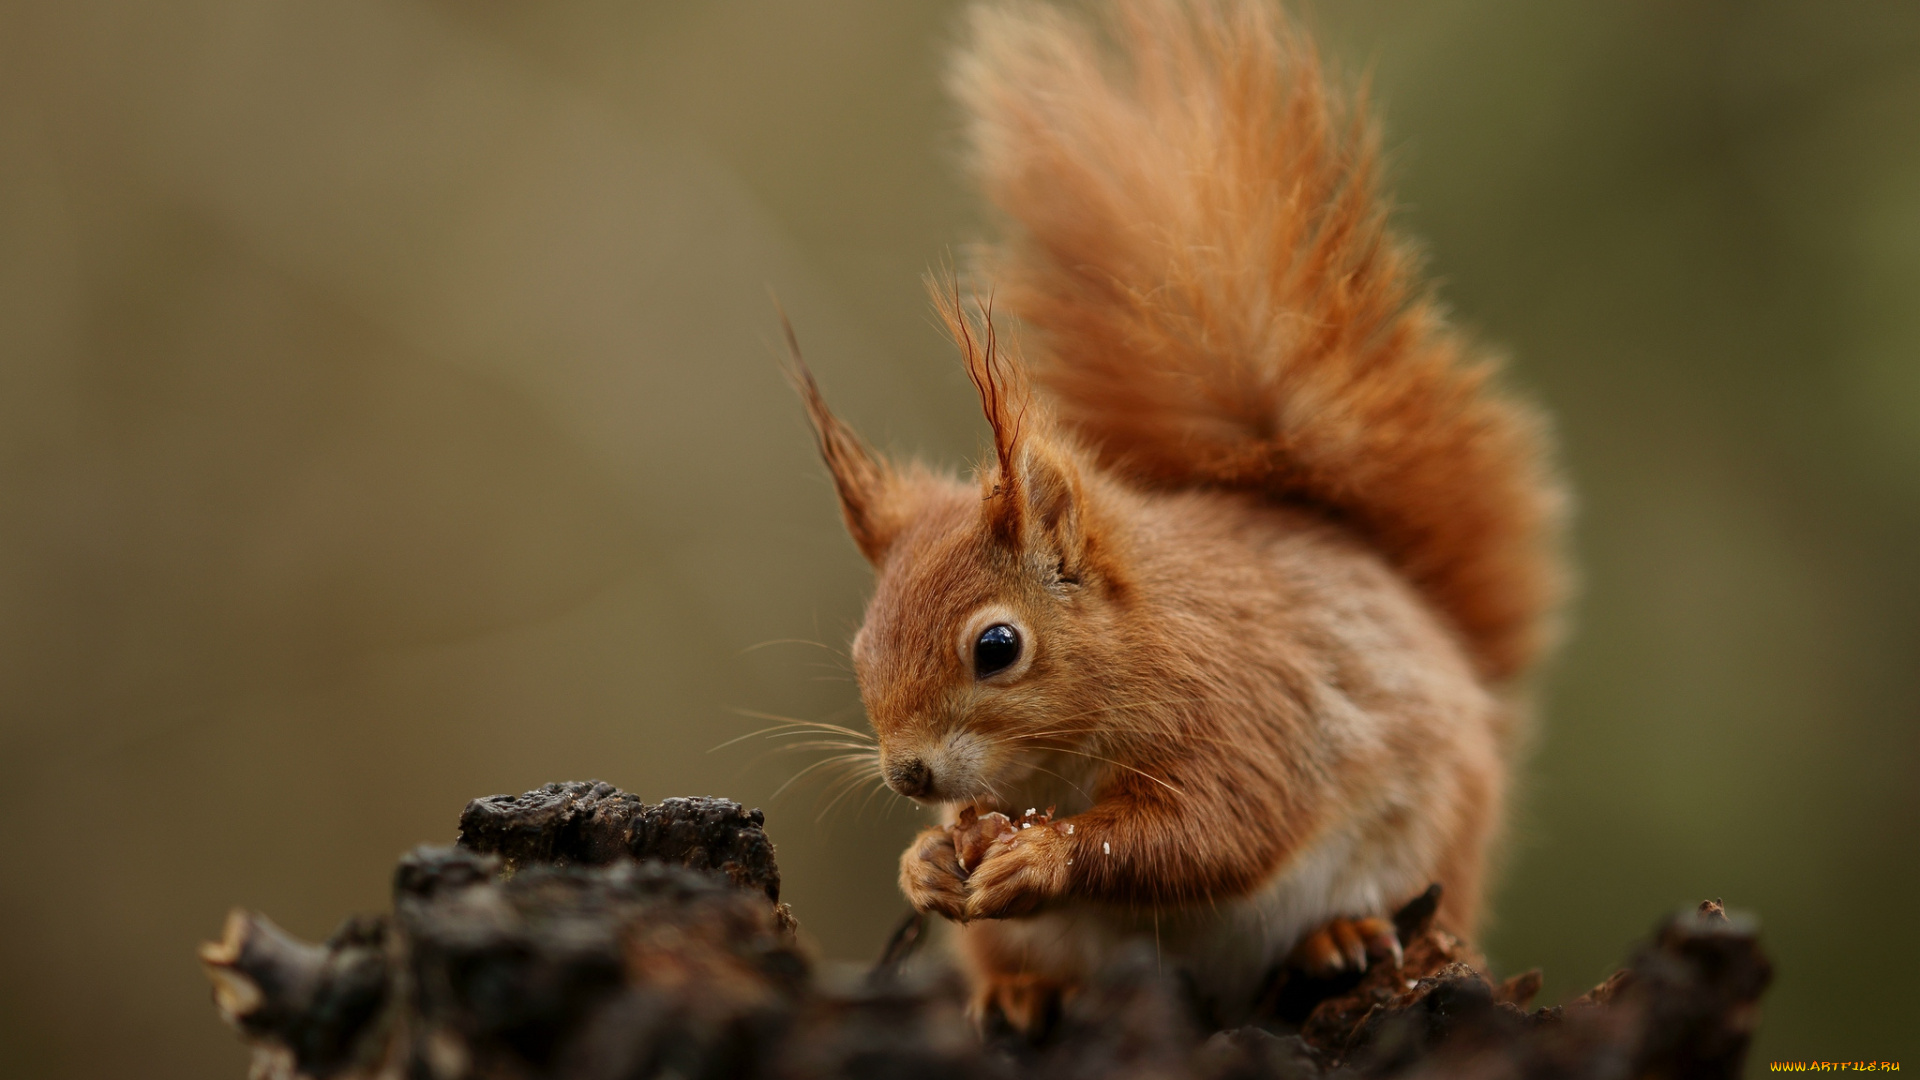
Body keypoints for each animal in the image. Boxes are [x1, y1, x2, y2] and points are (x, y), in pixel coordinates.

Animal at [779, 0, 1559, 1022]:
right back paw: (1018, 992)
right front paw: (926, 863)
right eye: (862, 647)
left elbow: (1215, 826)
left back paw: (1340, 936)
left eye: (998, 647)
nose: (908, 773)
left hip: (1428, 847)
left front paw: (1045, 855)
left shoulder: (1247, 710)